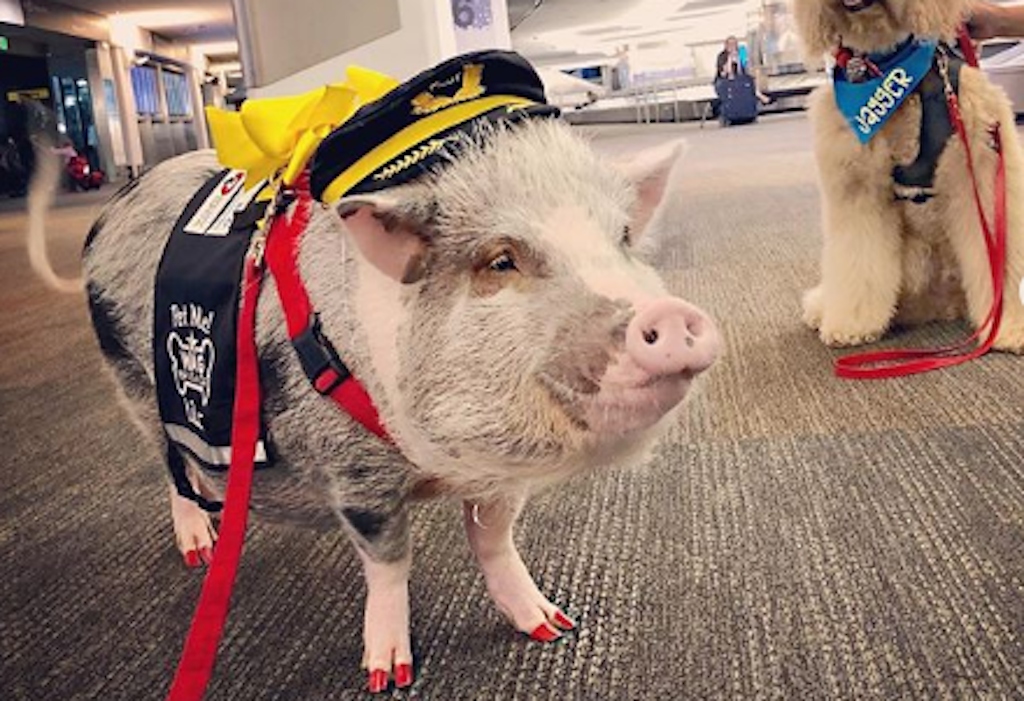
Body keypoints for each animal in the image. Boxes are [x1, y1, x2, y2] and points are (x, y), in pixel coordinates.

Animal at [44, 117, 724, 691]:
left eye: (624, 239)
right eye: (501, 260)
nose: (671, 316)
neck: (437, 462)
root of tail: (114, 207)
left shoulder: (499, 477)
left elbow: (495, 541)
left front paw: (552, 626)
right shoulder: (354, 473)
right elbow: (390, 562)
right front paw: (387, 675)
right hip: (134, 384)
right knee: (173, 468)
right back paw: (201, 548)